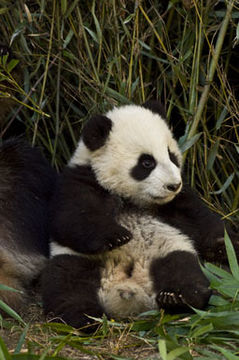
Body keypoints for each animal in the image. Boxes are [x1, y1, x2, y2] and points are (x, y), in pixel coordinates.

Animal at [41, 100, 239, 330]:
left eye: (171, 155)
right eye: (147, 162)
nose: (173, 185)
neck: (132, 199)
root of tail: (130, 291)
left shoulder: (176, 201)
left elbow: (198, 220)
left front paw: (226, 245)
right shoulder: (79, 180)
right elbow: (69, 219)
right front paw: (116, 236)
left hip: (167, 251)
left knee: (185, 271)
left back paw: (177, 298)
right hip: (80, 262)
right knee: (67, 284)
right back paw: (85, 318)